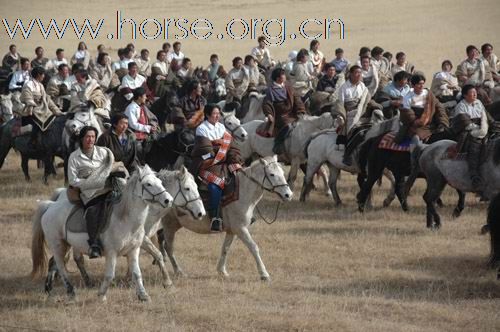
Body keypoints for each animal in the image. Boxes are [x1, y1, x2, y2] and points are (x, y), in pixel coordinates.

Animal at [31, 165, 173, 302]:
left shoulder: (133, 250)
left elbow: (137, 273)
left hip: (67, 245)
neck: (125, 219)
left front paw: (143, 296)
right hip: (57, 244)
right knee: (60, 266)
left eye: (160, 182)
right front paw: (101, 295)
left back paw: (51, 289)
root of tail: (50, 206)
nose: (168, 200)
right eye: (148, 184)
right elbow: (110, 275)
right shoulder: (111, 253)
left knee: (58, 263)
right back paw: (70, 291)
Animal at [159, 156, 292, 280]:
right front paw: (264, 274)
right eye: (272, 174)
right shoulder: (240, 229)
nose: (288, 195)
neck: (242, 193)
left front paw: (222, 271)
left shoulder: (232, 231)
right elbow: (254, 247)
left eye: (282, 172)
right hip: (169, 225)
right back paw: (178, 271)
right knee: (168, 247)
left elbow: (225, 249)